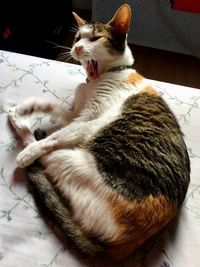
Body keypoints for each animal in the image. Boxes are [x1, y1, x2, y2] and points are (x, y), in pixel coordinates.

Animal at [7, 3, 190, 262]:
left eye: (95, 38)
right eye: (76, 38)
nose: (76, 47)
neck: (104, 76)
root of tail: (125, 245)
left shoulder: (88, 120)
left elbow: (56, 135)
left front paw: (30, 143)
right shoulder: (77, 114)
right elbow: (54, 106)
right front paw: (30, 106)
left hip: (73, 157)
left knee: (44, 151)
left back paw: (24, 136)